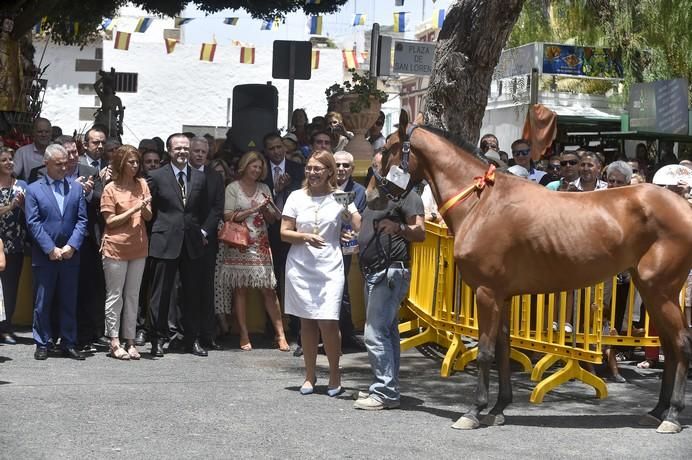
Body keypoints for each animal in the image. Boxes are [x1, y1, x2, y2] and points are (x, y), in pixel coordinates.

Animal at [370, 113, 692, 434]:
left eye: (387, 149)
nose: (372, 195)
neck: (481, 203)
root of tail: (682, 205)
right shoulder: (502, 296)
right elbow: (502, 348)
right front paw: (499, 408)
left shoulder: (486, 293)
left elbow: (485, 351)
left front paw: (474, 410)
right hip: (651, 291)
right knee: (669, 346)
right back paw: (657, 411)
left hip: (661, 290)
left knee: (681, 344)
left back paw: (673, 415)